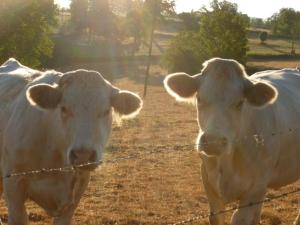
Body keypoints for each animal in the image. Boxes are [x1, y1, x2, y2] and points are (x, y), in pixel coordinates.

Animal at [164, 58, 300, 225]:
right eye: (199, 98)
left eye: (240, 103)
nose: (214, 142)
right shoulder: (209, 182)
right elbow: (216, 217)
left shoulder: (254, 189)